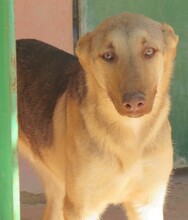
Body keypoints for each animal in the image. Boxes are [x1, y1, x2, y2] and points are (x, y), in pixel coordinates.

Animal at [16, 12, 178, 220]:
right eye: (108, 56)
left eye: (149, 51)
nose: (134, 102)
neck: (129, 136)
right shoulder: (81, 208)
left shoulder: (147, 204)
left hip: (57, 189)